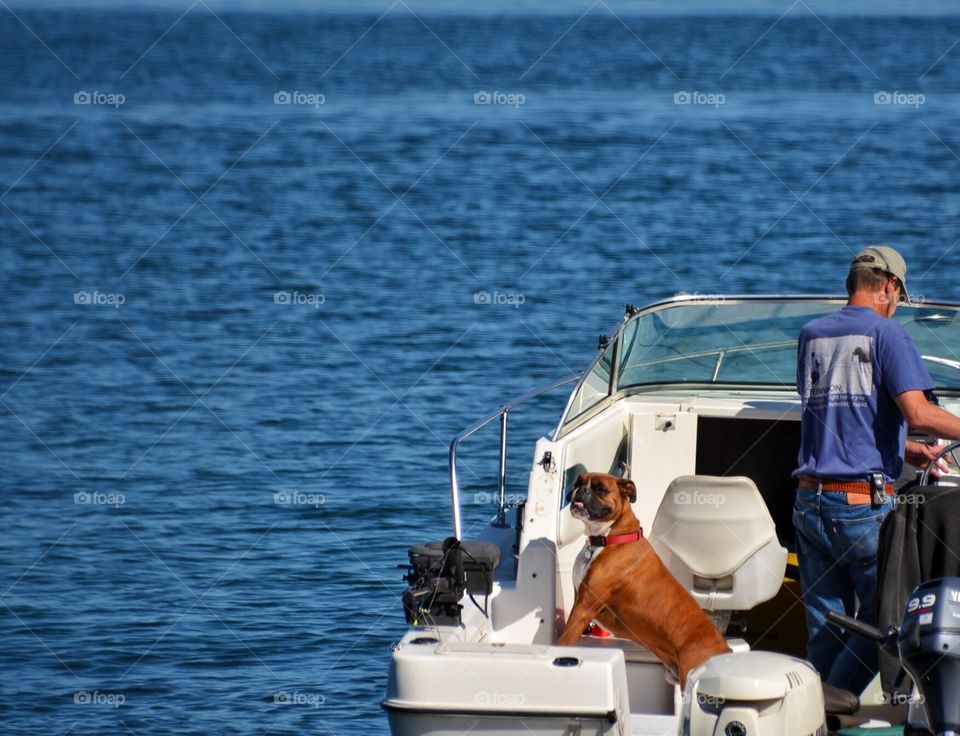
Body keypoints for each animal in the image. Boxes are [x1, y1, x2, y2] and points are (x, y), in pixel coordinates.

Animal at [556, 474, 728, 688]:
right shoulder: (579, 600)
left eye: (601, 489)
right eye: (578, 482)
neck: (609, 537)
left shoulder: (584, 606)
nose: (581, 490)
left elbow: (563, 642)